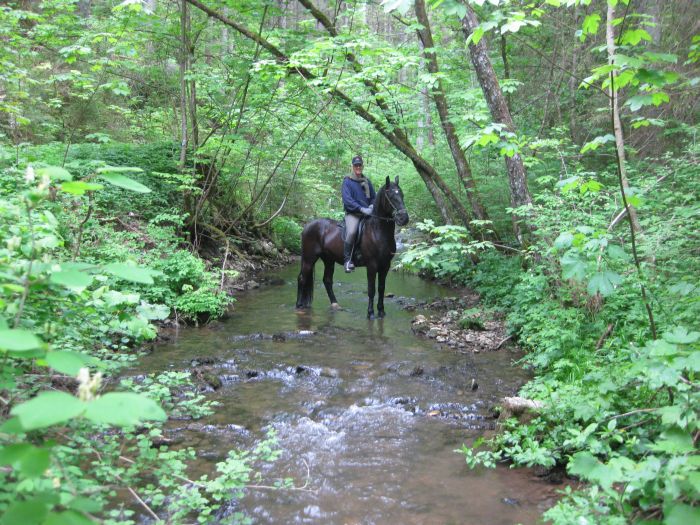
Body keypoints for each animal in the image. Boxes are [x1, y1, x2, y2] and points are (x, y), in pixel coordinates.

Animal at [296, 175, 410, 320]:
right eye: (390, 196)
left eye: (402, 194)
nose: (404, 218)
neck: (377, 232)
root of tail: (307, 226)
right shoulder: (372, 265)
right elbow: (371, 290)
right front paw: (370, 313)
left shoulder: (385, 266)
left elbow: (381, 288)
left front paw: (381, 311)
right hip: (309, 259)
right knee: (302, 279)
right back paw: (299, 305)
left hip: (329, 260)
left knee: (327, 280)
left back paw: (335, 305)